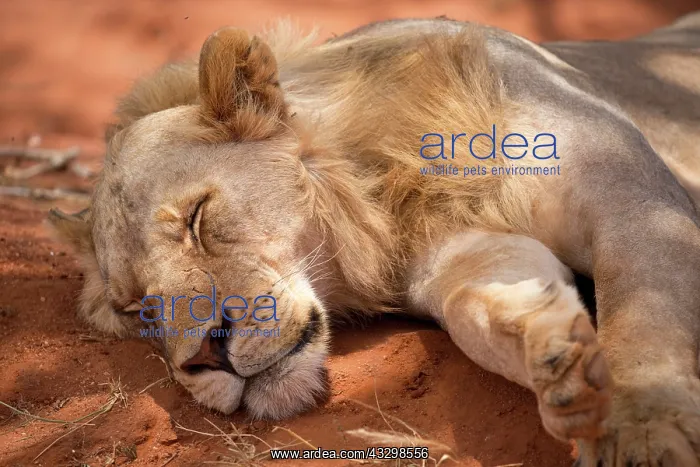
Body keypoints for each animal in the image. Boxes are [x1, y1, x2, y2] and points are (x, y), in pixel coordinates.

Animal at [48, 13, 700, 466]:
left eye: (197, 219)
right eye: (138, 309)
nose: (204, 357)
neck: (380, 184)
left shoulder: (634, 198)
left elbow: (642, 317)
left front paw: (642, 432)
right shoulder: (455, 255)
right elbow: (477, 309)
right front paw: (558, 357)